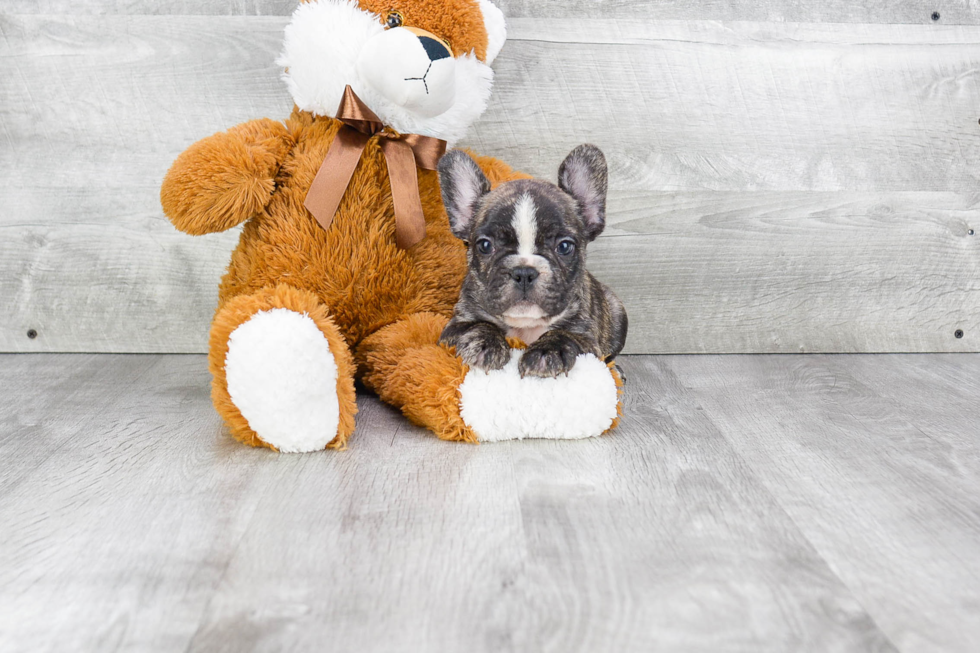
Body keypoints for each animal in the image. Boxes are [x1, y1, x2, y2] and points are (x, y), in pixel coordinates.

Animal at [436, 143, 628, 376]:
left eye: (564, 247)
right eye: (485, 245)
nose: (524, 272)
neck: (525, 326)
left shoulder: (589, 342)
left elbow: (565, 335)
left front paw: (547, 352)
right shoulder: (451, 330)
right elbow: (480, 325)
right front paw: (485, 344)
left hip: (617, 310)